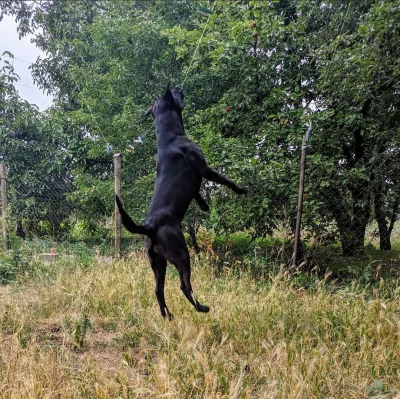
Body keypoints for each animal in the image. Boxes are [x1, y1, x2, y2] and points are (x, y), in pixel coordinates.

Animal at [115, 86, 247, 320]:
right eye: (175, 95)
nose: (178, 87)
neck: (171, 137)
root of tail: (149, 227)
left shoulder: (196, 181)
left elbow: (197, 193)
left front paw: (204, 206)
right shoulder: (204, 169)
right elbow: (226, 180)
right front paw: (241, 190)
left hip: (157, 263)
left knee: (158, 290)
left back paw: (167, 315)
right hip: (181, 254)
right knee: (184, 286)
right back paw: (202, 307)